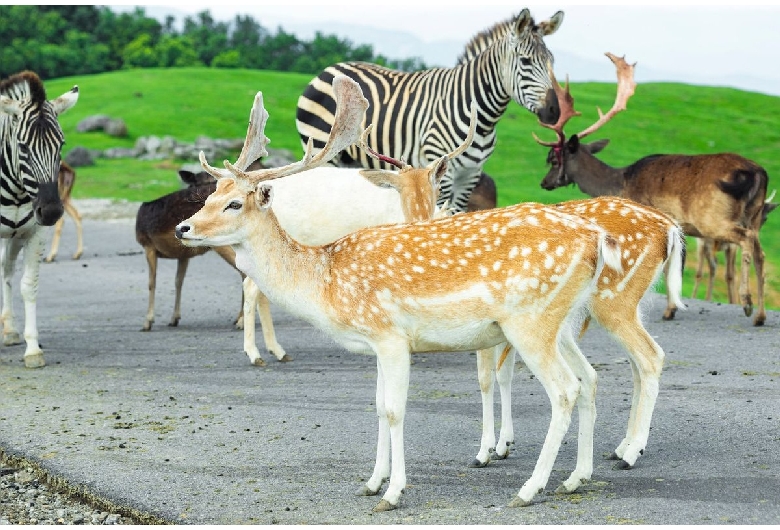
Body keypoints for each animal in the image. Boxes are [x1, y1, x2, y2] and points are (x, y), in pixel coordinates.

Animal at [0, 71, 78, 368]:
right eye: (23, 147)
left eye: (61, 144)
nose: (52, 212)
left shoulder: (34, 233)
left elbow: (28, 286)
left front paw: (33, 349)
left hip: (13, 237)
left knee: (6, 270)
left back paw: (9, 330)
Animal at [175, 74, 628, 508]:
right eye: (210, 195)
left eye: (235, 203)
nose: (183, 227)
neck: (326, 283)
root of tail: (595, 240)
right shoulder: (376, 342)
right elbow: (377, 408)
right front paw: (372, 482)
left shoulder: (391, 335)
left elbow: (394, 411)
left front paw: (393, 493)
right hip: (561, 321)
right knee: (588, 377)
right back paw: (575, 478)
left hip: (530, 321)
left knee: (565, 389)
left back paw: (530, 489)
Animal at [296, 7, 564, 210]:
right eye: (526, 62)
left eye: (552, 61)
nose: (555, 112)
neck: (482, 119)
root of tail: (329, 68)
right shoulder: (440, 168)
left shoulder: (470, 175)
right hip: (321, 148)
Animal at [540, 53, 772, 326]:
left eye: (553, 159)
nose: (544, 182)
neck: (621, 182)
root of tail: (758, 174)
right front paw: (671, 308)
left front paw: (667, 309)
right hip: (754, 215)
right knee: (760, 253)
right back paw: (760, 315)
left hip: (713, 219)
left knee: (746, 242)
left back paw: (746, 303)